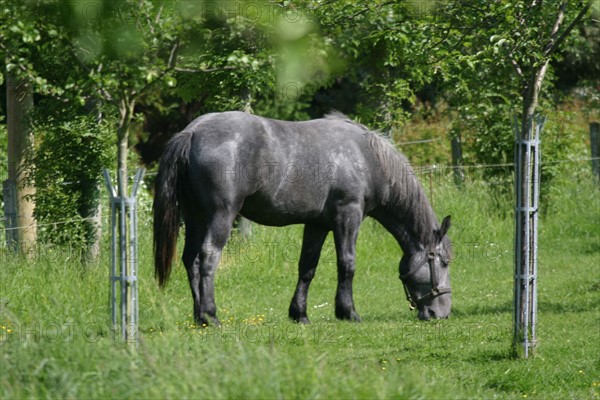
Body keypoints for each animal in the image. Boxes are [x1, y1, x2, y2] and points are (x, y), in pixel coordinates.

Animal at [152, 111, 452, 324]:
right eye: (444, 262)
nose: (442, 313)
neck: (366, 157)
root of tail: (192, 131)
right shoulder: (348, 216)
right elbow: (347, 264)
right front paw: (348, 312)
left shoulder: (317, 224)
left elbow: (307, 267)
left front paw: (300, 314)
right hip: (220, 216)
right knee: (208, 256)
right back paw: (211, 315)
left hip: (194, 218)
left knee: (190, 260)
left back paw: (198, 316)